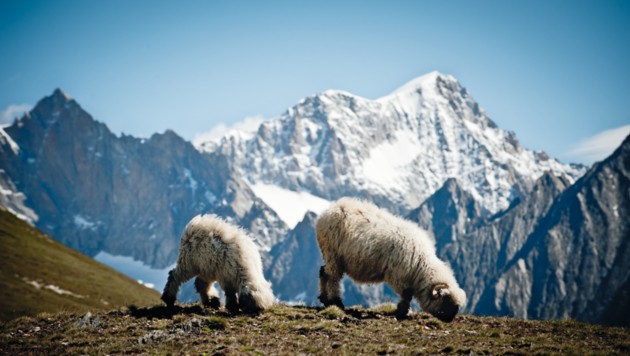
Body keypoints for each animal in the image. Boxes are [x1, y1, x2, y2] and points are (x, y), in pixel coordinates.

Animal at [316, 197, 470, 322]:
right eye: (446, 301)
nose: (450, 319)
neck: (420, 264)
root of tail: (329, 210)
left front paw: (404, 311)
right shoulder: (398, 276)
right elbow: (407, 294)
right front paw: (403, 311)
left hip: (330, 255)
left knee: (323, 272)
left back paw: (324, 299)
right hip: (333, 253)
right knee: (333, 277)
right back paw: (336, 302)